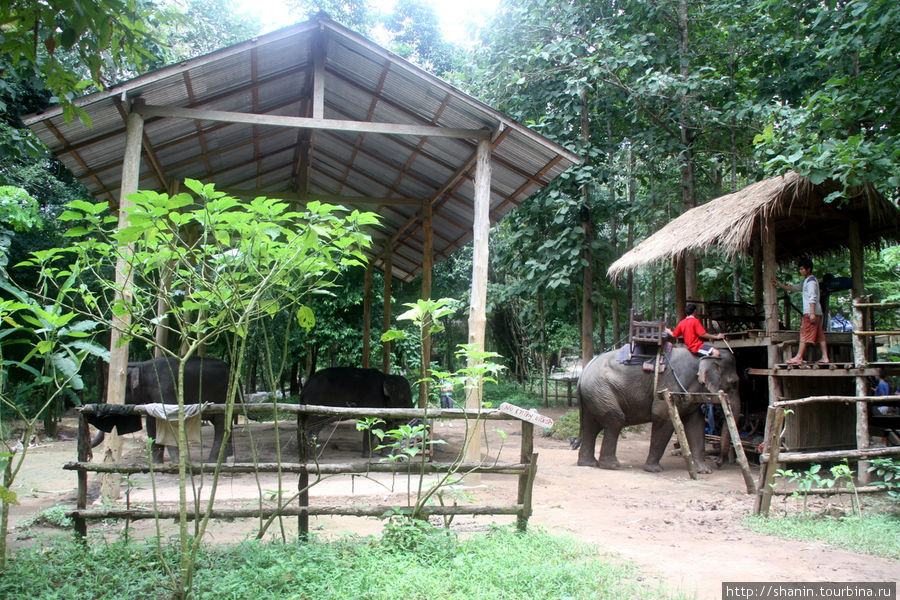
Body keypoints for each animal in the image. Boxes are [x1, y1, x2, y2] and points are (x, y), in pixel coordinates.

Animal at [91, 356, 230, 464]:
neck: (141, 365)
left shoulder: (165, 388)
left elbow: (171, 418)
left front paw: (178, 463)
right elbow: (151, 422)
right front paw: (157, 463)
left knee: (220, 424)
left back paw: (213, 461)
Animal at [576, 346, 740, 474]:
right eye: (734, 383)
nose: (719, 464)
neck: (702, 359)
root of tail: (583, 372)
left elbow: (696, 424)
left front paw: (705, 471)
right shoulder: (670, 387)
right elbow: (662, 417)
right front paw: (654, 470)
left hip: (594, 394)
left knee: (592, 426)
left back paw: (589, 464)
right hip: (601, 390)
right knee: (614, 421)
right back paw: (612, 466)